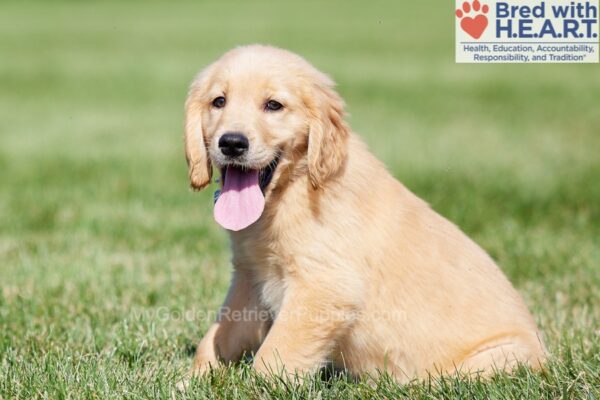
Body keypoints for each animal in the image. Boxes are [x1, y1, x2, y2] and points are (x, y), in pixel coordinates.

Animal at [180, 45, 548, 382]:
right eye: (219, 101)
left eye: (274, 105)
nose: (231, 143)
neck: (294, 187)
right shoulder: (250, 277)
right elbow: (220, 333)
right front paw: (193, 379)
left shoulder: (325, 285)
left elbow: (275, 353)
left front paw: (252, 387)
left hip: (496, 358)